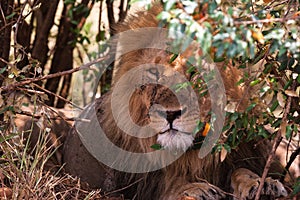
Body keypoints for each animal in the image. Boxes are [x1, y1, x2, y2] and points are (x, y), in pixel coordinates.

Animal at [62, 3, 288, 200]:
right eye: (154, 73)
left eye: (196, 72)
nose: (170, 114)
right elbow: (172, 187)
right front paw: (196, 189)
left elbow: (242, 169)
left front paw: (262, 185)